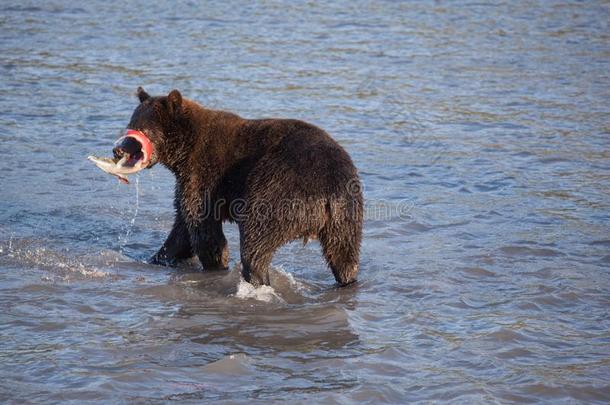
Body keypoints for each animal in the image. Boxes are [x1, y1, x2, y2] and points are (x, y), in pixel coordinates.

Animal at [114, 87, 360, 288]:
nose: (118, 150)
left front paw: (216, 264)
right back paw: (346, 281)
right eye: (130, 126)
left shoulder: (205, 174)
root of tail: (327, 190)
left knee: (256, 241)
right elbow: (181, 228)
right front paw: (158, 258)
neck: (183, 152)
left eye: (143, 130)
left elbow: (202, 227)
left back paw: (256, 278)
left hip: (279, 189)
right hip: (346, 214)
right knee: (344, 255)